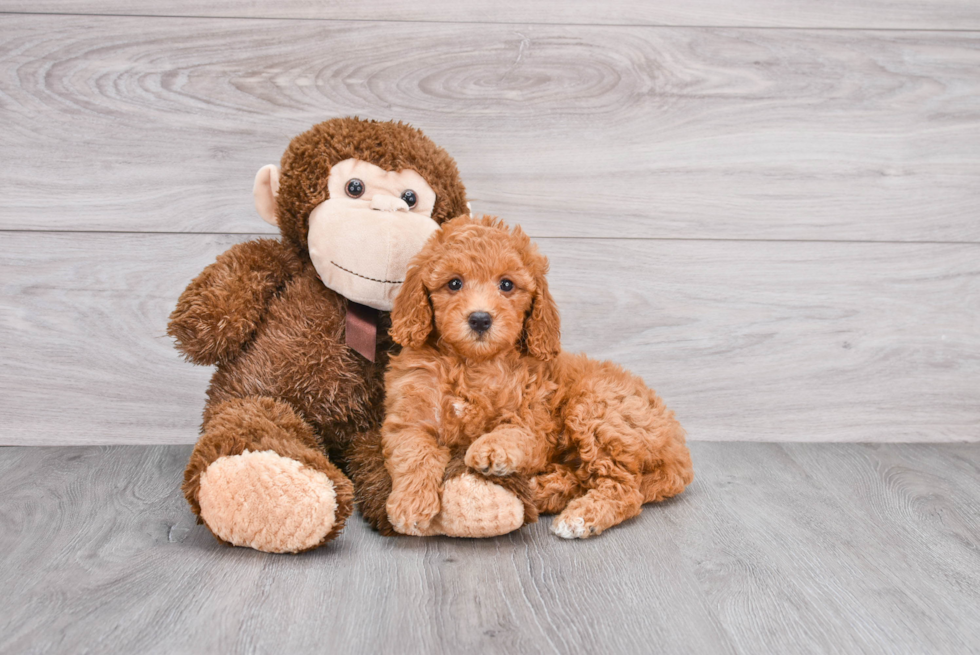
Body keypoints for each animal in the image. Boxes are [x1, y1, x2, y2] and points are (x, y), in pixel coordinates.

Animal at [378, 215, 692, 540]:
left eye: (506, 284)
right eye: (454, 283)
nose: (480, 319)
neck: (472, 363)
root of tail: (676, 443)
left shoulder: (533, 418)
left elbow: (515, 432)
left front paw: (492, 448)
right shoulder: (411, 417)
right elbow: (415, 453)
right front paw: (410, 503)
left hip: (596, 410)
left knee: (624, 488)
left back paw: (579, 517)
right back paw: (540, 490)